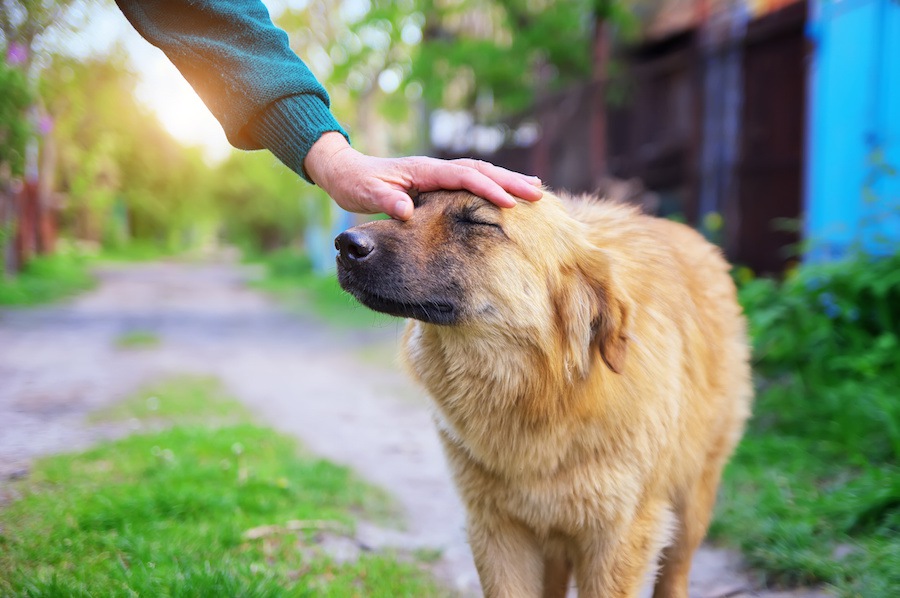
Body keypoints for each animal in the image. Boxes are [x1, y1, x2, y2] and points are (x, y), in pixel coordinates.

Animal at [334, 189, 748, 598]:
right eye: (412, 203)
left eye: (478, 222)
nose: (345, 244)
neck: (546, 394)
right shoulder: (498, 529)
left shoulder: (618, 538)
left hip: (691, 503)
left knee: (675, 572)